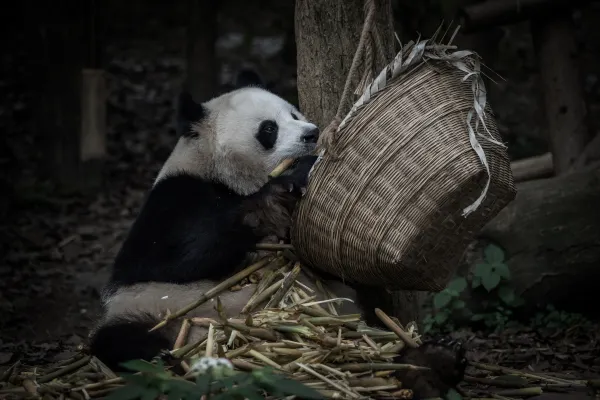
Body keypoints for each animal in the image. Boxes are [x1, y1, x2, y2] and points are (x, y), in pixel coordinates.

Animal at [88, 70, 468, 398]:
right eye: (268, 128)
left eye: (294, 113)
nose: (312, 133)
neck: (228, 177)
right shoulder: (173, 199)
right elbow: (173, 257)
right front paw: (278, 194)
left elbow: (333, 262)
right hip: (150, 311)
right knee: (120, 342)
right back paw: (168, 363)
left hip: (354, 324)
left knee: (383, 341)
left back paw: (434, 362)